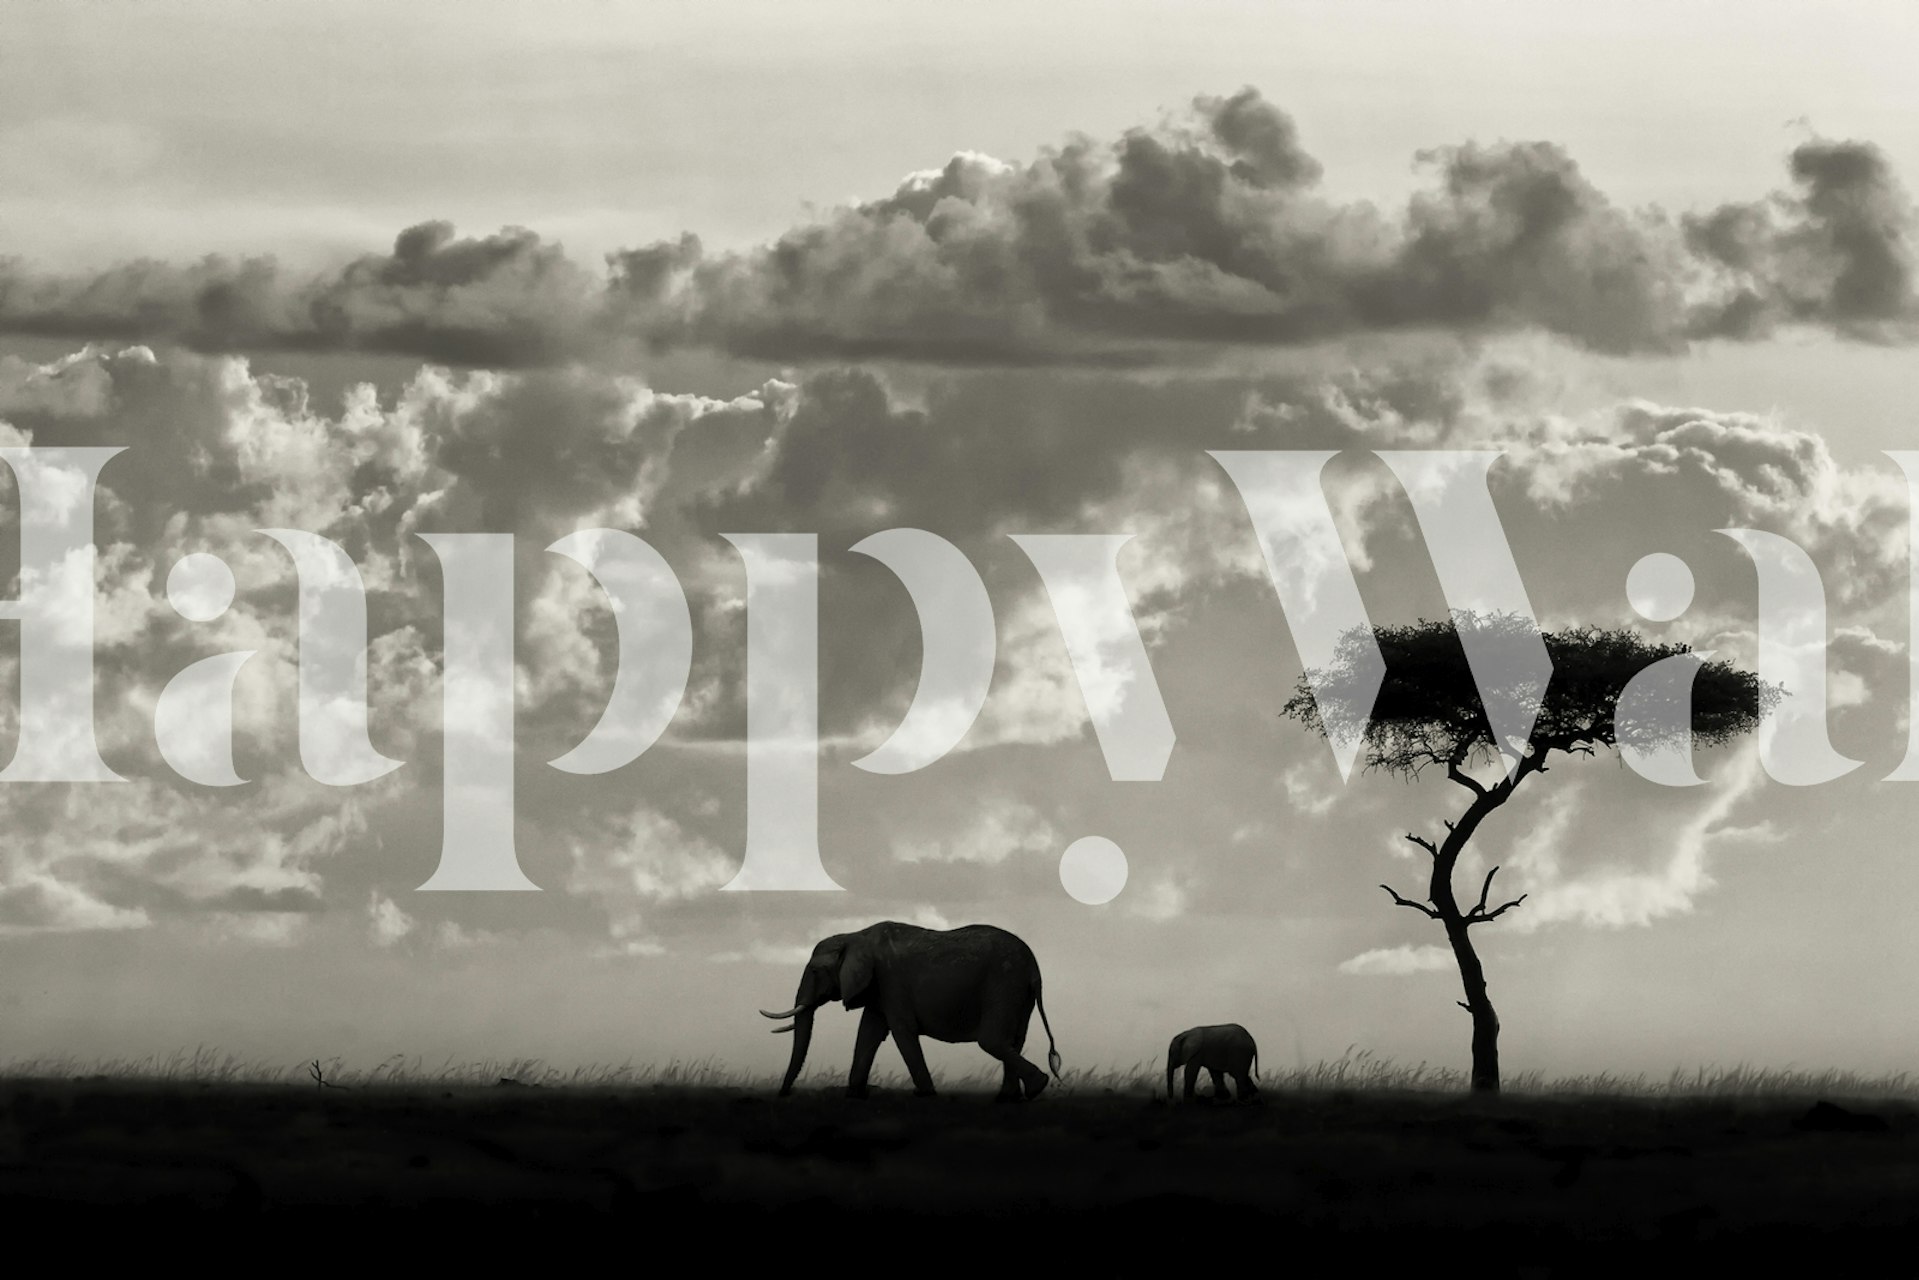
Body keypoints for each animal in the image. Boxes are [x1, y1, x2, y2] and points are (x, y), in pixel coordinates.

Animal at [759, 921, 1062, 1101]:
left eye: (814, 971)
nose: (784, 1094)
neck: (855, 936)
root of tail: (1035, 969)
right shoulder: (878, 988)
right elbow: (868, 1032)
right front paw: (854, 1094)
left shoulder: (891, 982)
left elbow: (901, 1031)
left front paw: (926, 1094)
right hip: (1018, 992)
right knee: (1014, 1040)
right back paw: (1010, 1098)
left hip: (1004, 983)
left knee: (992, 1040)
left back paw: (1037, 1087)